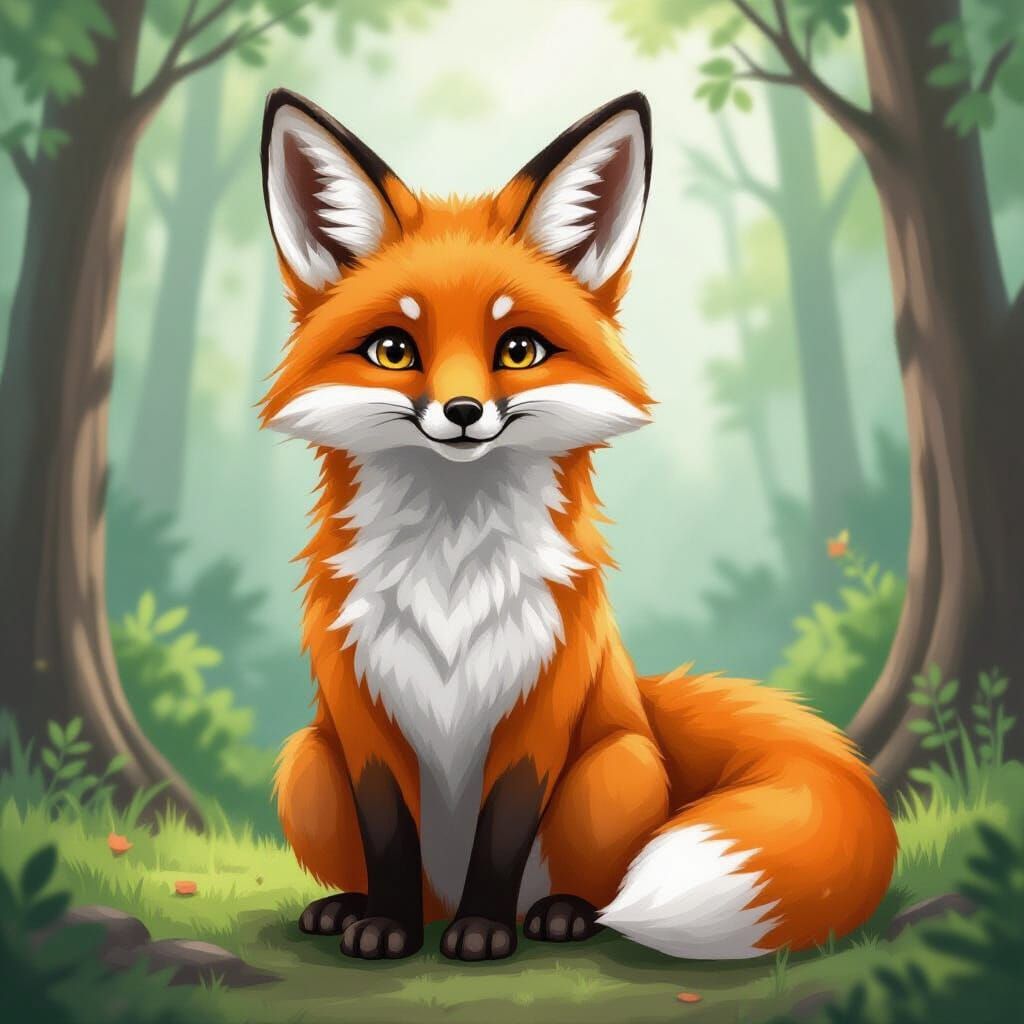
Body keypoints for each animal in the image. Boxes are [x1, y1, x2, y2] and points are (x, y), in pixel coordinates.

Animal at [258, 87, 897, 963]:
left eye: (519, 348)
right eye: (393, 349)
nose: (463, 412)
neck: (450, 567)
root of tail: (647, 706)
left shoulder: (541, 702)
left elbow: (503, 826)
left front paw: (485, 933)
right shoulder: (361, 713)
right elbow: (387, 834)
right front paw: (383, 927)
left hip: (618, 766)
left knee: (591, 880)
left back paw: (560, 914)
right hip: (304, 763)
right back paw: (353, 909)